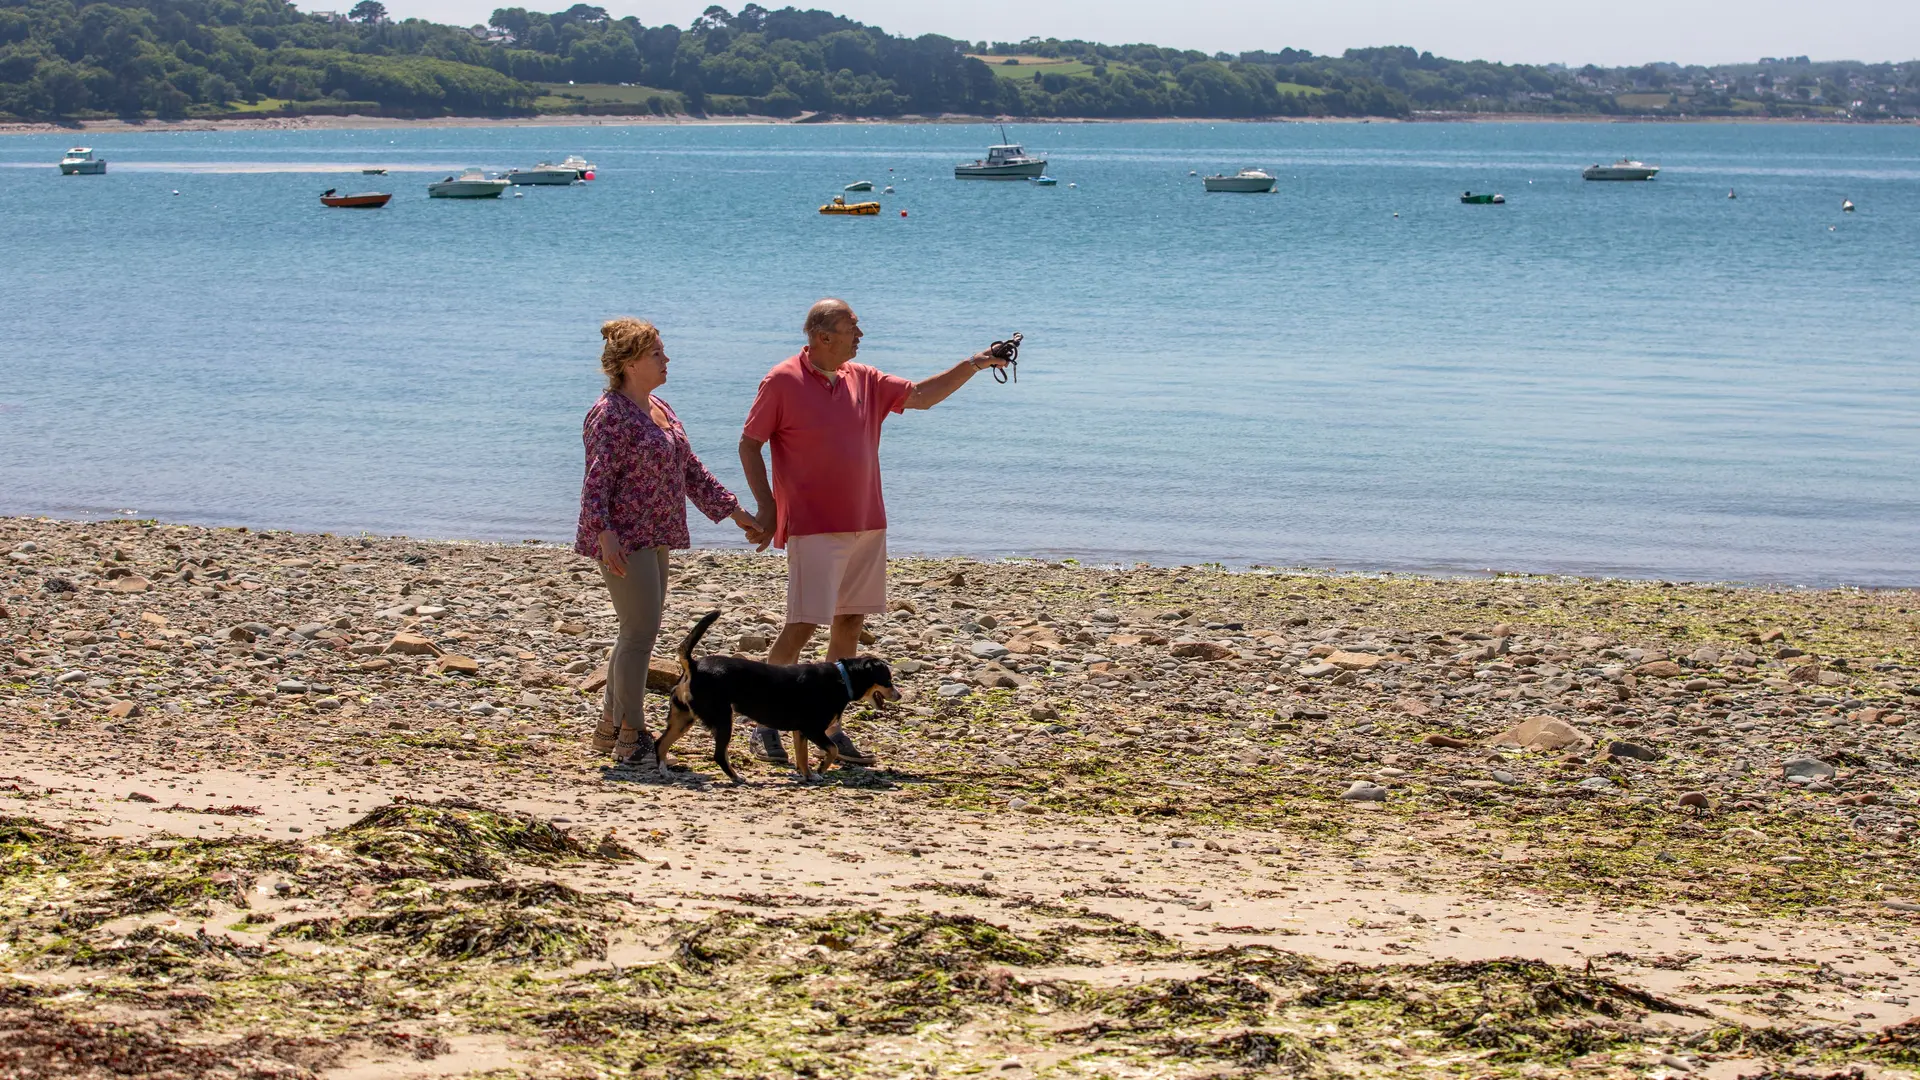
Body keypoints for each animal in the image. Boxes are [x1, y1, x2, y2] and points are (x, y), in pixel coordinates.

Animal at [656, 611, 902, 776]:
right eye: (888, 680)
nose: (899, 696)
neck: (843, 678)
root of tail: (694, 665)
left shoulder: (800, 732)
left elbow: (802, 756)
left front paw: (807, 776)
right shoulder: (813, 728)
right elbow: (831, 749)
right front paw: (821, 769)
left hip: (683, 718)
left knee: (661, 743)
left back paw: (664, 771)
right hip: (723, 718)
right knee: (719, 755)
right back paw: (737, 777)